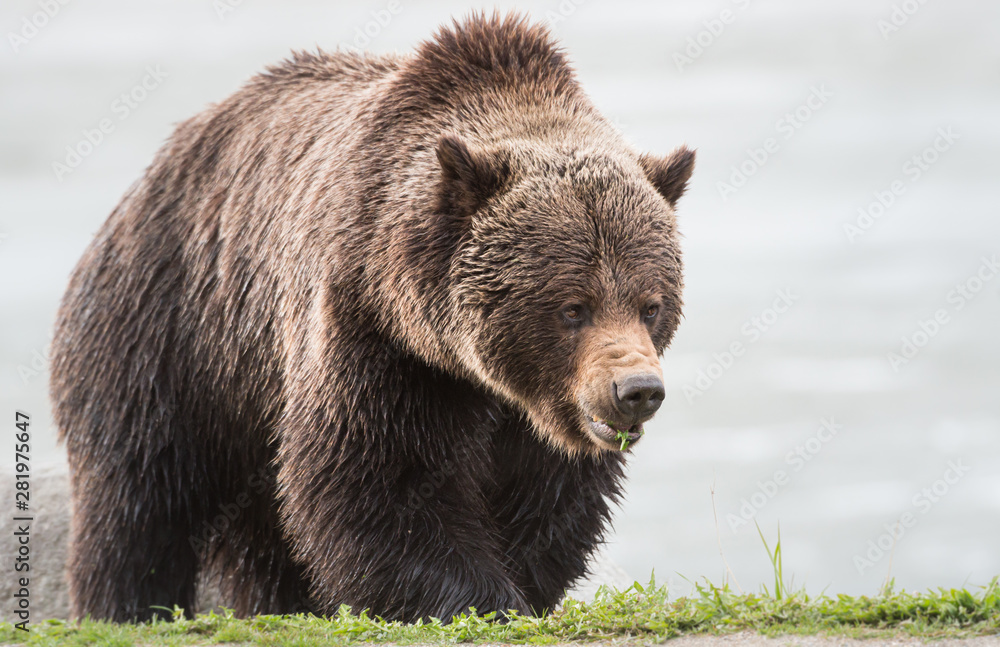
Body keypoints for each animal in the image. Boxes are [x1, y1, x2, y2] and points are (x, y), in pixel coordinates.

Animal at [50, 12, 692, 624]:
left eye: (650, 304)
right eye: (571, 307)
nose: (637, 390)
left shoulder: (528, 410)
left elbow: (548, 495)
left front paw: (522, 586)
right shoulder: (371, 332)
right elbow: (379, 480)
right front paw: (480, 599)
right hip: (170, 336)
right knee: (139, 500)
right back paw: (127, 606)